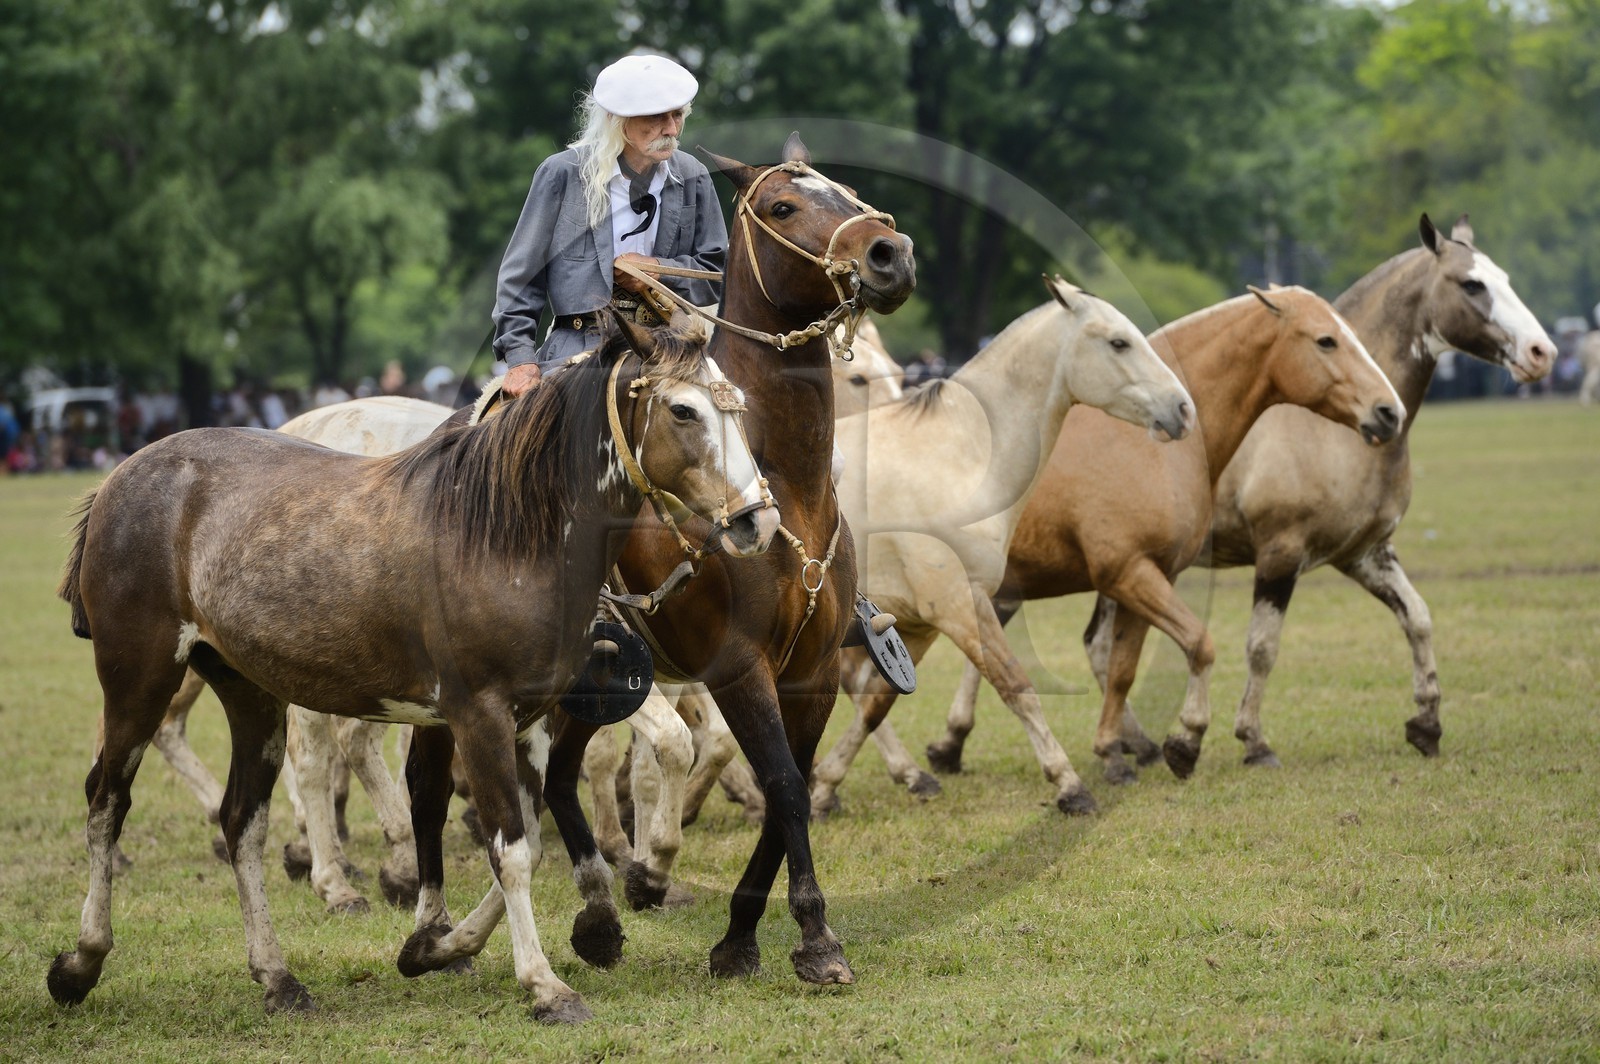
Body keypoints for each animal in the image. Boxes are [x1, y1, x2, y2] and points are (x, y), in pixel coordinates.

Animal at [48, 315, 779, 1023]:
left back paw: (278, 977)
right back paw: (82, 961)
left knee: (242, 824)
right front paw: (543, 984)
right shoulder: (478, 715)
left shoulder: (530, 720)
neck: (507, 533)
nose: (758, 521)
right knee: (107, 802)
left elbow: (530, 841)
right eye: (682, 410)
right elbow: (512, 849)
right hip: (139, 679)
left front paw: (437, 946)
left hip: (249, 694)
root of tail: (120, 477)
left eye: (741, 407)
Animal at [804, 278, 1196, 816]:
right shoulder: (959, 607)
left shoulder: (915, 622)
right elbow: (1018, 688)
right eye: (1119, 342)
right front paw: (1070, 786)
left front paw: (828, 787)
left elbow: (875, 705)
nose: (1183, 409)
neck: (958, 460)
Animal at [923, 285, 1405, 788]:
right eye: (1326, 340)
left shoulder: (1148, 577)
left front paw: (1113, 753)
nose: (1390, 412)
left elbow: (1122, 668)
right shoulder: (1129, 574)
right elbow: (1199, 644)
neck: (1146, 447)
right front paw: (1186, 741)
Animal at [1191, 214, 1555, 769]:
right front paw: (1254, 742)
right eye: (1472, 284)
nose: (1542, 353)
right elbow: (1262, 647)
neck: (1332, 427)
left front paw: (1426, 724)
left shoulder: (1364, 554)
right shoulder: (1279, 553)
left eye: (1506, 279)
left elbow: (1418, 619)